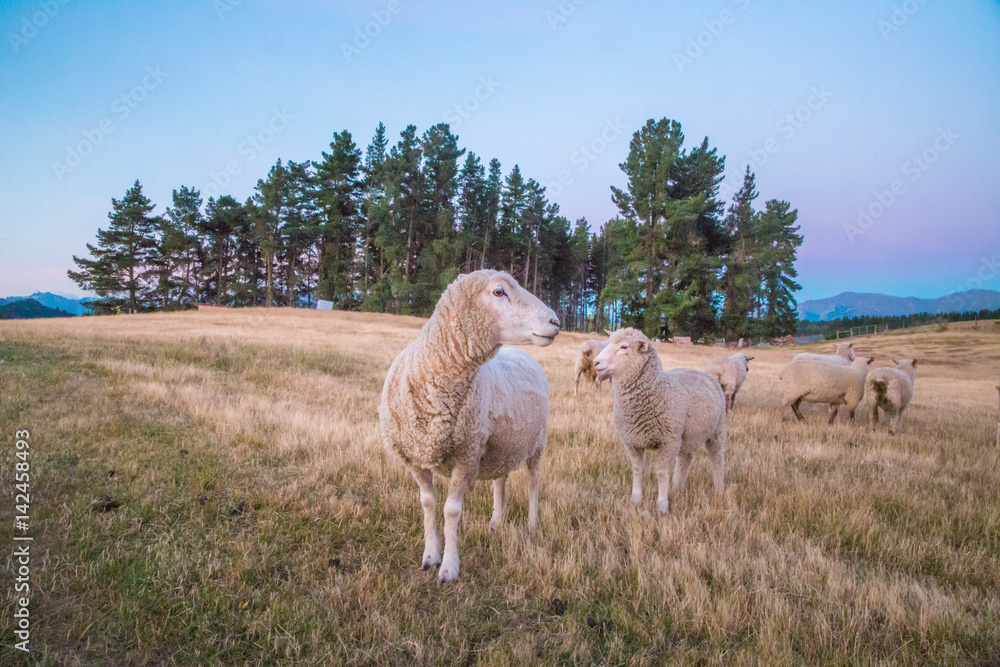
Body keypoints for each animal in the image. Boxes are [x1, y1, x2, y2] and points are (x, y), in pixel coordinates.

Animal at [378, 270, 560, 583]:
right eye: (499, 291)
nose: (555, 322)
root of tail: (525, 355)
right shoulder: (414, 457)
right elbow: (428, 503)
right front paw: (430, 556)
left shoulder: (466, 457)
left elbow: (452, 511)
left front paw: (449, 568)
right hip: (504, 444)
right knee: (501, 480)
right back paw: (496, 521)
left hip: (537, 443)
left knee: (533, 482)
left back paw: (533, 524)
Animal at [592, 328, 726, 514]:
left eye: (624, 347)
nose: (595, 362)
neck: (655, 391)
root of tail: (706, 374)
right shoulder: (632, 441)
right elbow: (637, 469)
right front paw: (636, 499)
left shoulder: (667, 441)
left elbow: (661, 473)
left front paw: (662, 505)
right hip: (686, 435)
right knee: (686, 458)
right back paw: (677, 488)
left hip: (716, 431)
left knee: (716, 458)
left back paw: (719, 489)